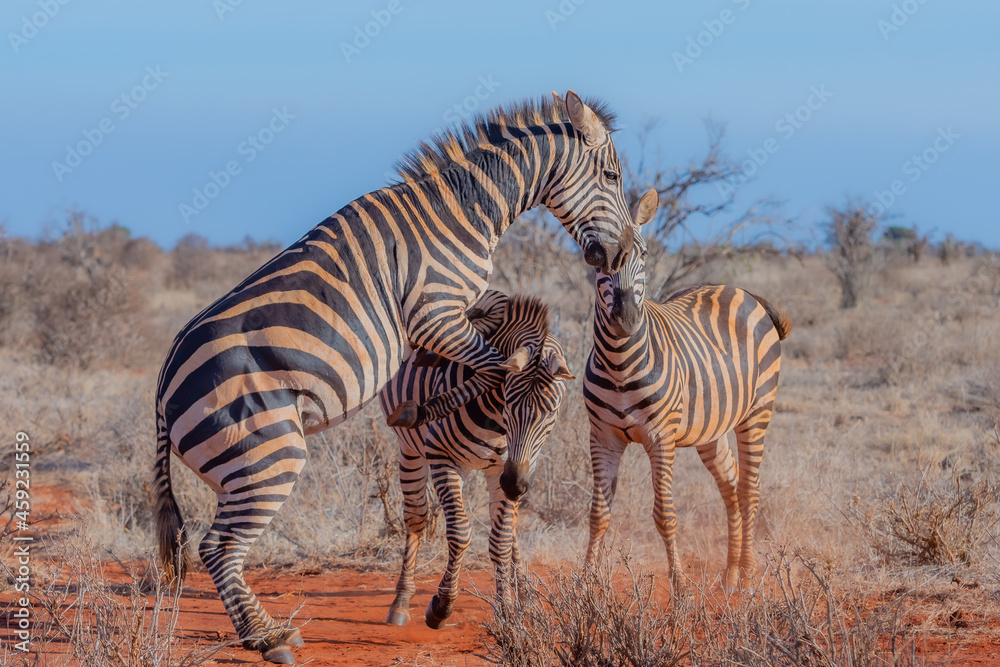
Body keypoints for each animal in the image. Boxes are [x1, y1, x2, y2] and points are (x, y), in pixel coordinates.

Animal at [379, 290, 573, 629]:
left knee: (510, 531)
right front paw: (441, 606)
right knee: (415, 518)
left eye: (551, 413)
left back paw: (526, 596)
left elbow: (501, 541)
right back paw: (401, 602)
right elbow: (459, 533)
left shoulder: (503, 469)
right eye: (509, 403)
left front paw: (507, 609)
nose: (515, 486)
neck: (496, 421)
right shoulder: (442, 457)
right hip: (412, 451)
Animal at [584, 189, 791, 593]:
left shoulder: (660, 437)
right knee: (731, 487)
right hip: (711, 429)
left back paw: (747, 576)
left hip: (758, 411)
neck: (618, 362)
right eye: (597, 259)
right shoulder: (602, 436)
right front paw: (583, 584)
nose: (626, 319)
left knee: (750, 489)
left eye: (644, 254)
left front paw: (679, 586)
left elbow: (665, 514)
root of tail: (739, 289)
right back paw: (729, 576)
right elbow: (598, 513)